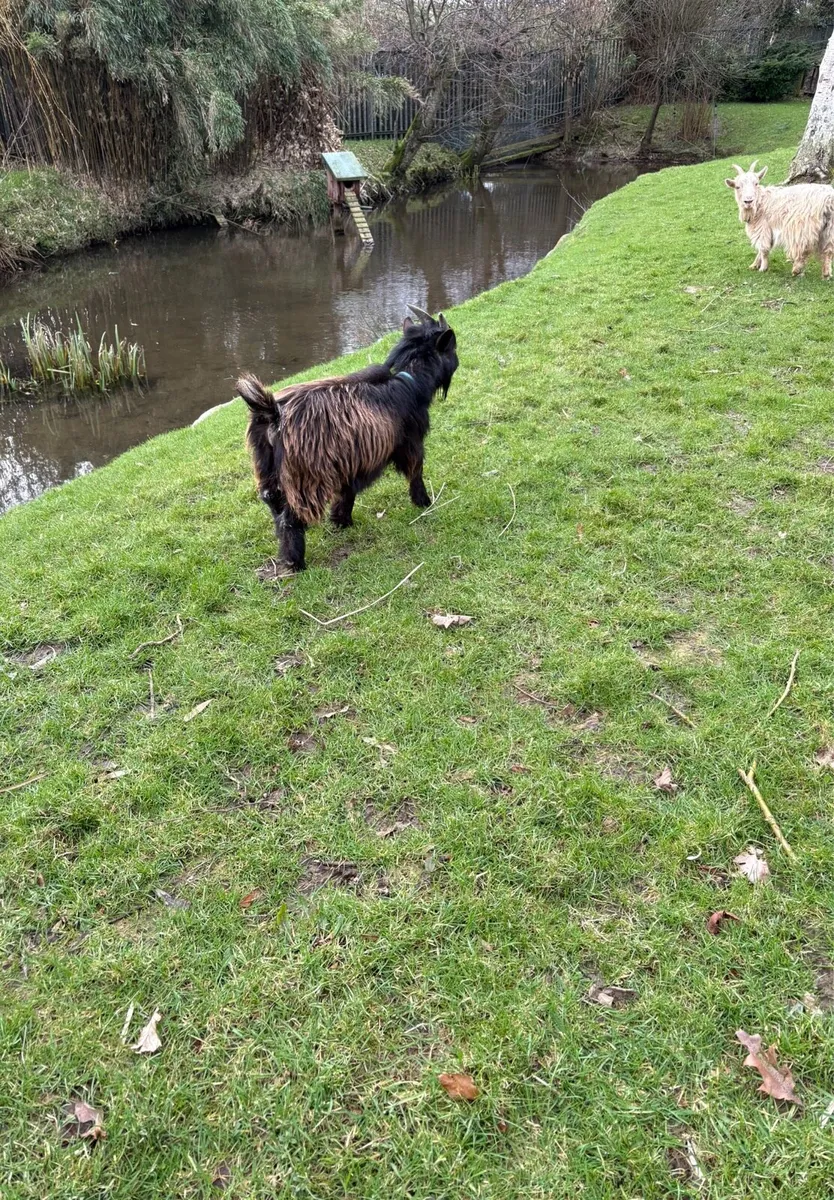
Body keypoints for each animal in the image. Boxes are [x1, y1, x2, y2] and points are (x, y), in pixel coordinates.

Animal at [239, 306, 459, 571]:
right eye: (452, 346)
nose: (458, 361)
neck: (410, 380)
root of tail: (272, 413)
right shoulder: (410, 443)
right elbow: (416, 472)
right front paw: (424, 502)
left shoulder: (350, 461)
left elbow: (346, 493)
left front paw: (341, 521)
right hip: (305, 478)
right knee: (291, 518)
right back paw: (296, 563)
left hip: (268, 471)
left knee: (276, 510)